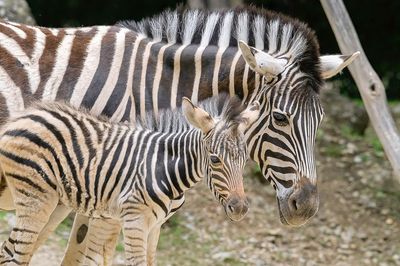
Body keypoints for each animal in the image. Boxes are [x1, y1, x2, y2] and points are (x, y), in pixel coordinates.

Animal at [0, 94, 260, 264]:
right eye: (215, 160)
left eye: (245, 159)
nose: (240, 209)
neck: (164, 167)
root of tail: (21, 117)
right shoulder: (134, 220)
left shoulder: (155, 225)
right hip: (36, 199)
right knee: (17, 255)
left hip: (54, 203)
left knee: (9, 251)